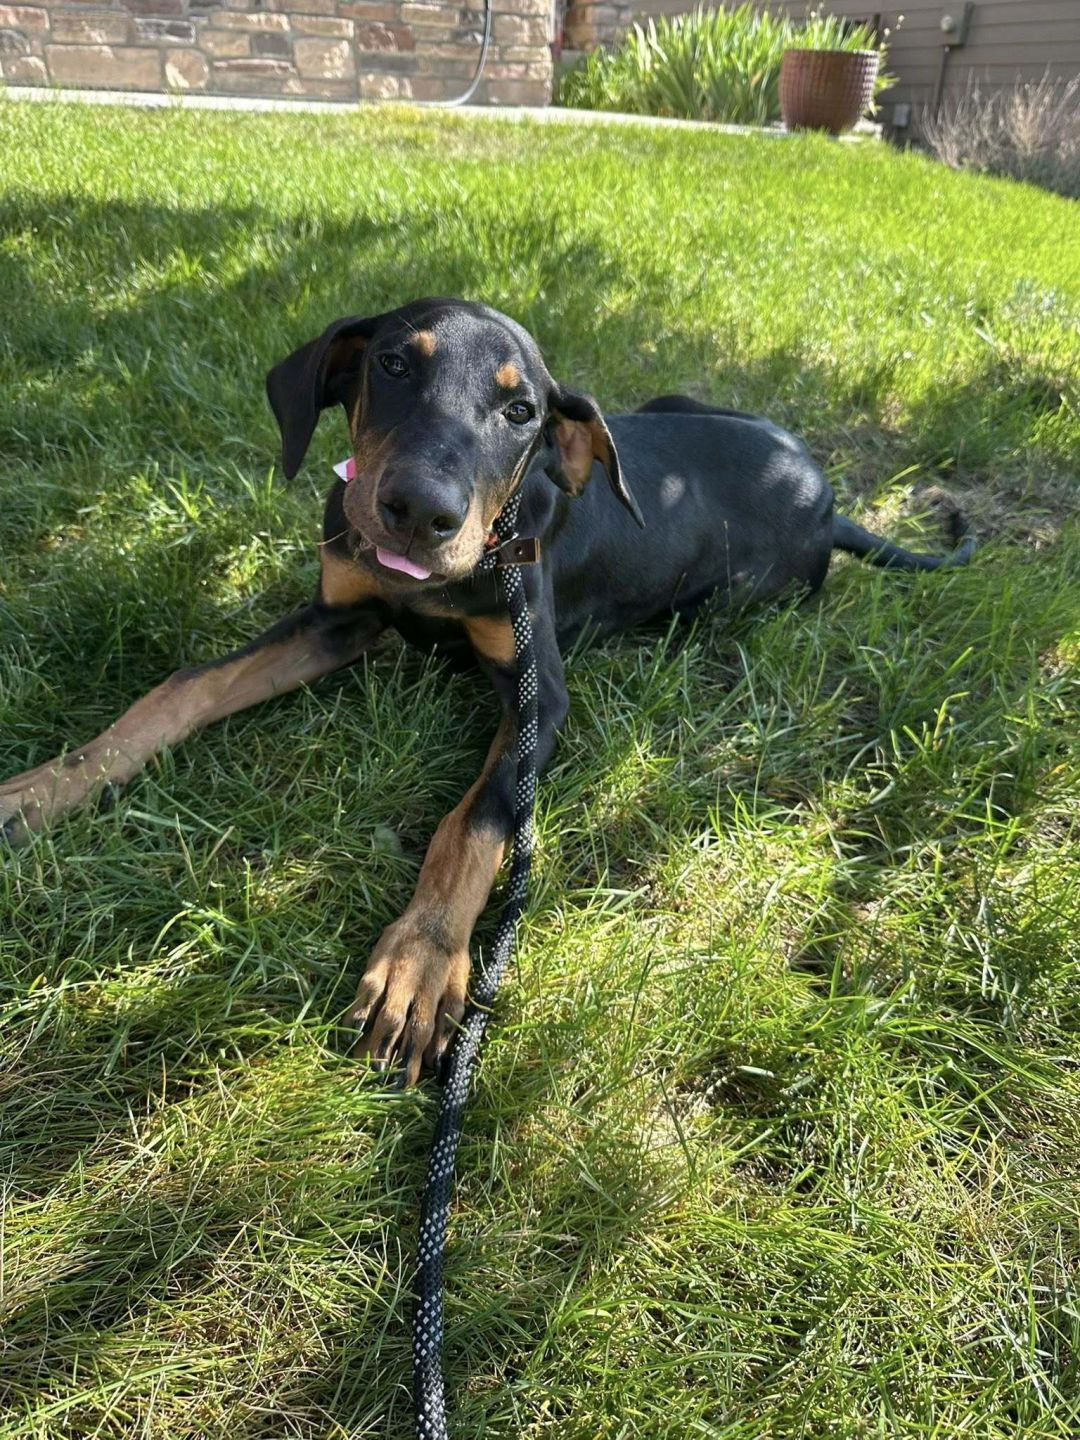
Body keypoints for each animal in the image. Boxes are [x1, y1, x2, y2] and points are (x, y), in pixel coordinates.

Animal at [0, 298, 973, 1083]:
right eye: (394, 364)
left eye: (519, 411)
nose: (418, 513)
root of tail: (832, 502)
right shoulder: (336, 618)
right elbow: (179, 691)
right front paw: (43, 790)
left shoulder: (539, 697)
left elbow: (474, 821)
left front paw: (420, 963)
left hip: (733, 596)